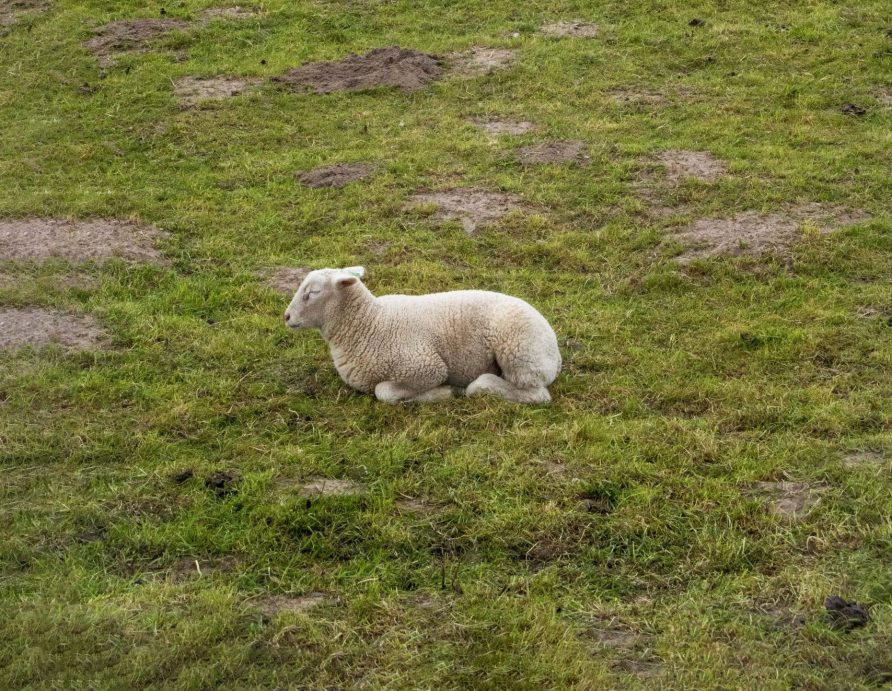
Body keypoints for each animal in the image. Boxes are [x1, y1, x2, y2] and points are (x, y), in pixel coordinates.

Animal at [283, 267, 561, 404]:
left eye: (313, 292)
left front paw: (443, 393)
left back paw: (480, 385)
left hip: (519, 353)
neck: (369, 322)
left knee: (537, 395)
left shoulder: (425, 366)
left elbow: (383, 391)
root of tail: (556, 355)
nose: (286, 316)